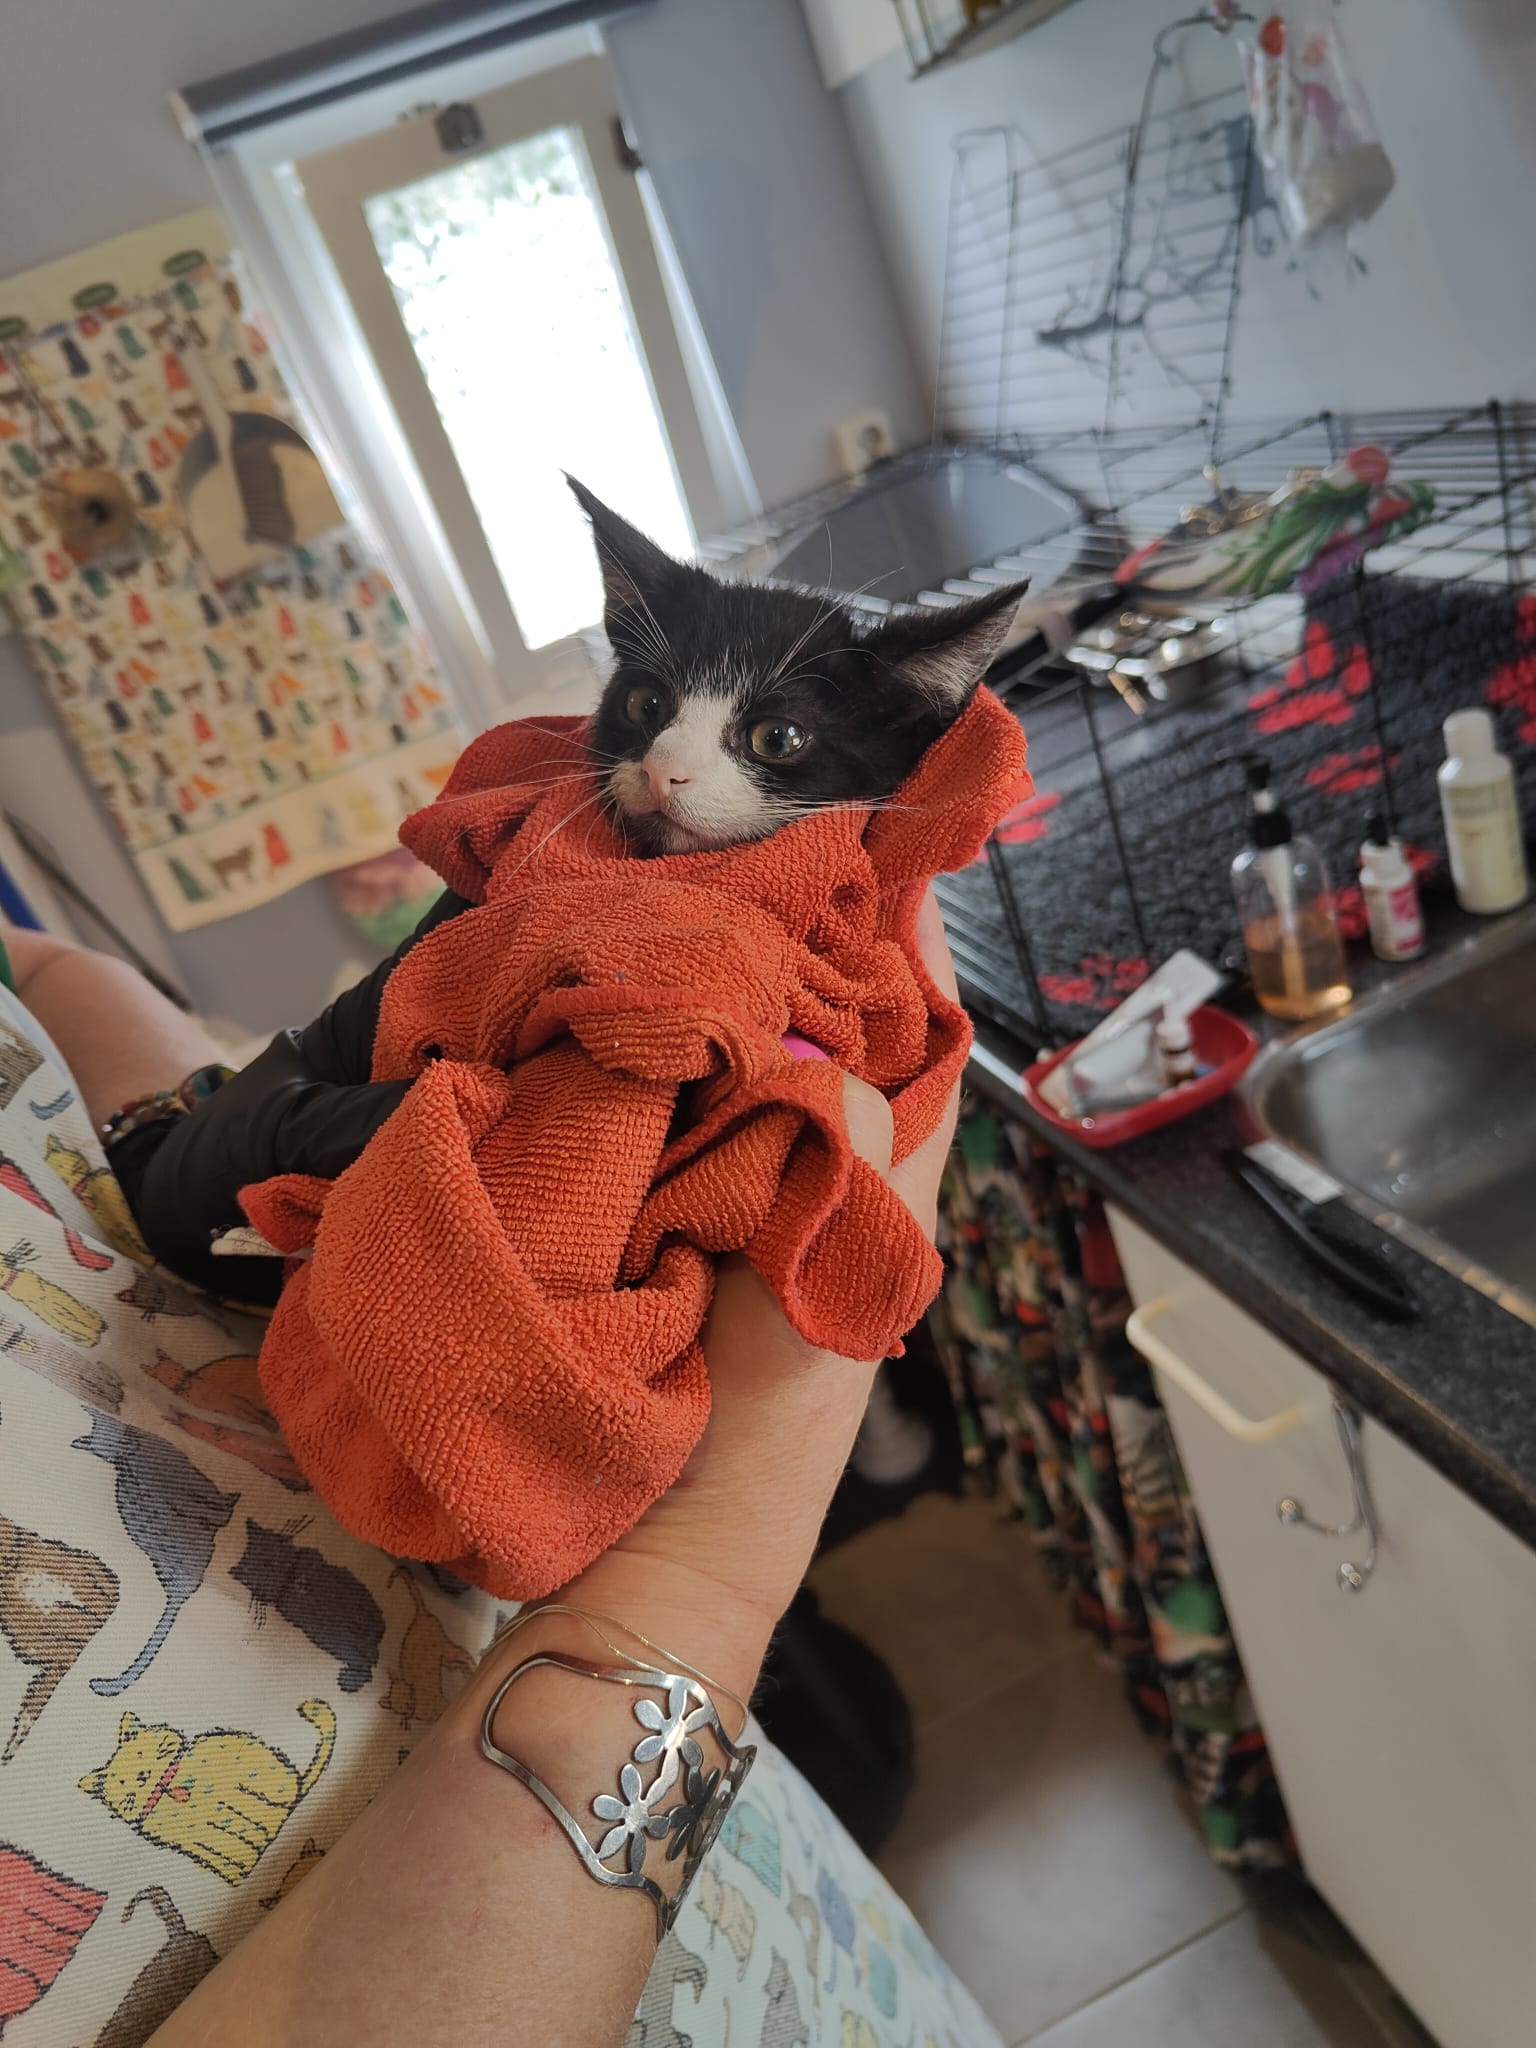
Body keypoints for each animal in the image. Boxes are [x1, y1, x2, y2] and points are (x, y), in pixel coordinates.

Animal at [232, 1518, 384, 1693]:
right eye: (258, 1568)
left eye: (268, 1556)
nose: (270, 1565)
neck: (288, 1577)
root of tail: (372, 1644)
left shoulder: (310, 1557)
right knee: (367, 1667)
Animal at [379, 1566, 476, 1729]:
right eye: (402, 1705)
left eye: (408, 1695)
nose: (410, 1701)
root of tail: (420, 1614)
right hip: (444, 1660)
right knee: (458, 1663)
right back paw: (468, 1674)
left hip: (446, 1648)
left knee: (464, 1655)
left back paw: (474, 1668)